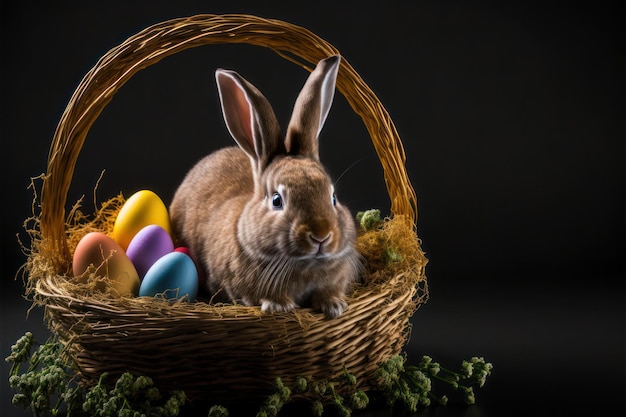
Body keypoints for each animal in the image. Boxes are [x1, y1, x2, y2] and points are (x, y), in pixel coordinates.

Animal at [169, 53, 360, 316]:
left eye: (333, 198)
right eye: (277, 200)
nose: (320, 236)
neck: (304, 265)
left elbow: (328, 291)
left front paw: (334, 305)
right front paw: (279, 306)